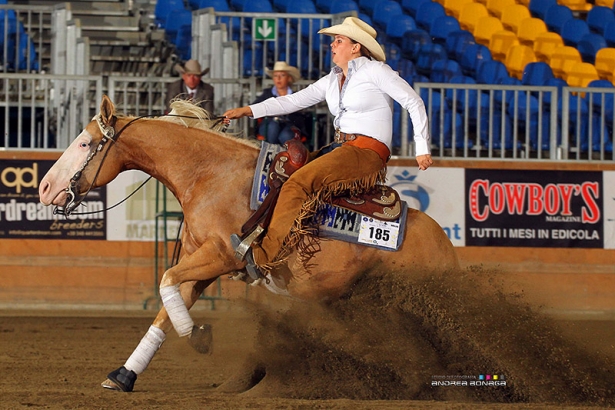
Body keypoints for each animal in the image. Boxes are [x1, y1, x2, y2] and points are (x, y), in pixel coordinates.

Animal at [37, 94, 462, 392]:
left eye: (84, 143)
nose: (44, 188)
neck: (209, 174)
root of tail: (443, 245)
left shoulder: (221, 255)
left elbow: (166, 281)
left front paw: (199, 337)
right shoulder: (201, 261)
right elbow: (168, 302)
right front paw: (124, 375)